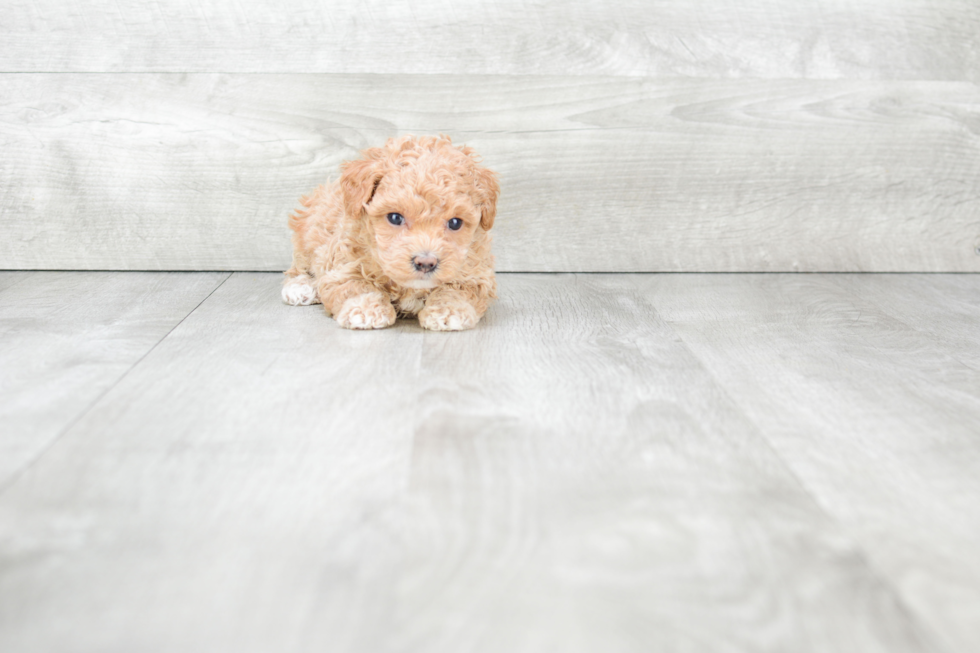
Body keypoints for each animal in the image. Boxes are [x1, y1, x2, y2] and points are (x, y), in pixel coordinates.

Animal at [282, 136, 498, 332]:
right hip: (309, 229)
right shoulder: (342, 264)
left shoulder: (476, 273)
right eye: (395, 218)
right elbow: (355, 285)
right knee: (299, 264)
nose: (425, 263)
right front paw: (366, 309)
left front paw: (448, 311)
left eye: (455, 223)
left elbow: (457, 290)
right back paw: (301, 286)